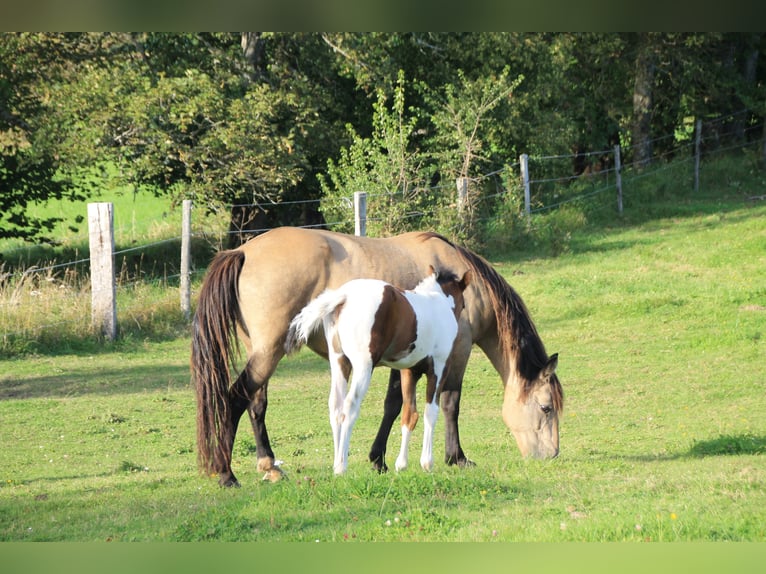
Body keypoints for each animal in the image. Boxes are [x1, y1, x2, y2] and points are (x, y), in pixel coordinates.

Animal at [284, 268, 472, 474]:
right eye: (463, 304)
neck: (437, 302)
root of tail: (344, 295)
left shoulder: (409, 372)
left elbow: (409, 414)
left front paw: (401, 464)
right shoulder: (438, 368)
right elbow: (430, 412)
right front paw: (427, 462)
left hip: (339, 362)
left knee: (336, 406)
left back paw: (336, 463)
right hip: (363, 366)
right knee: (349, 406)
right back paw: (342, 466)